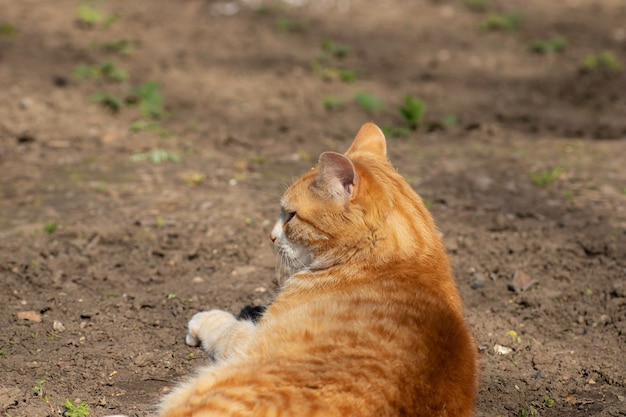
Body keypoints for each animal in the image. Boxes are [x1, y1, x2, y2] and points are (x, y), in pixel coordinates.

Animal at [156, 123, 472, 416]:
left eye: (291, 216)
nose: (270, 236)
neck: (396, 260)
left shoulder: (249, 340)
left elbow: (224, 327)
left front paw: (204, 320)